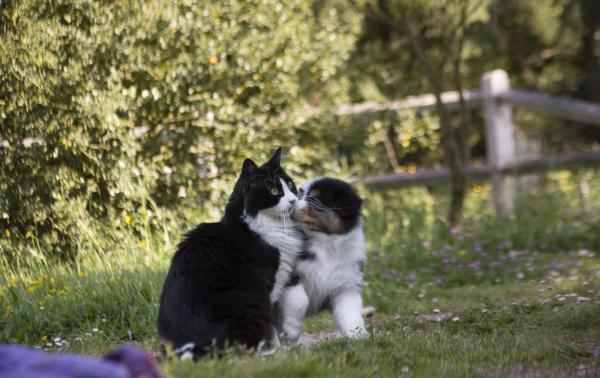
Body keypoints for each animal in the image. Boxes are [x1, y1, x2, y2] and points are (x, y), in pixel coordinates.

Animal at [157, 148, 302, 358]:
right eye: (274, 191)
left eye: (290, 185)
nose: (294, 200)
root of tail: (187, 346)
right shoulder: (269, 286)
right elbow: (272, 326)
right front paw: (278, 351)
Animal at [278, 176, 368, 344]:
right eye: (300, 194)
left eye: (316, 198)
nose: (291, 202)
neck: (325, 243)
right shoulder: (291, 276)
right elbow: (300, 300)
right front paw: (291, 332)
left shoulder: (345, 286)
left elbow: (351, 313)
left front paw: (360, 336)